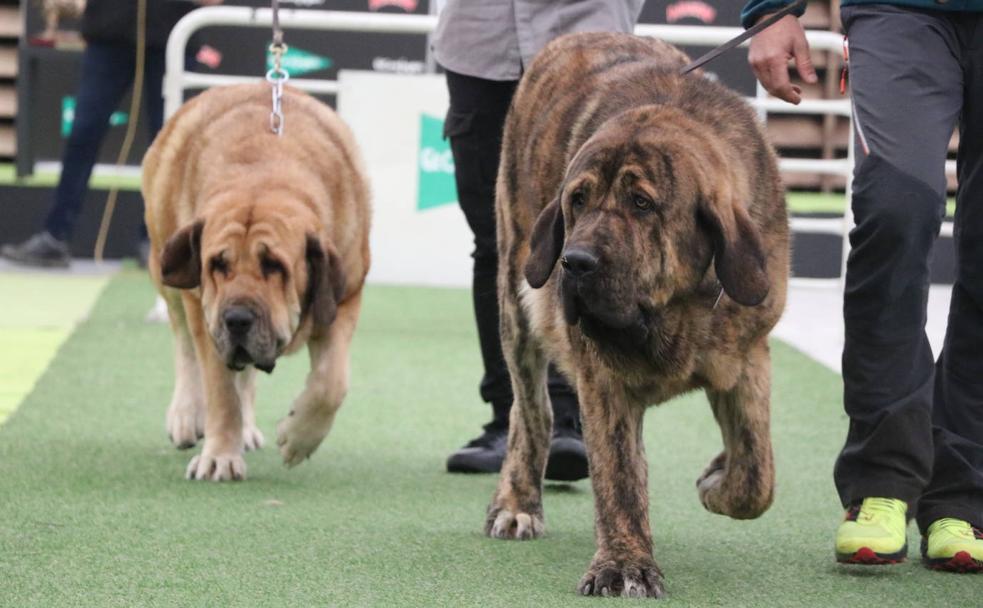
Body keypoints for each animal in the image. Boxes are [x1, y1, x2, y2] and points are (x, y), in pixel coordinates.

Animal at [140, 83, 368, 482]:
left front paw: (298, 437)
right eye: (217, 263)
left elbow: (331, 382)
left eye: (274, 265)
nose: (237, 319)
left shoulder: (344, 296)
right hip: (166, 270)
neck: (264, 170)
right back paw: (186, 415)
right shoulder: (207, 317)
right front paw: (220, 456)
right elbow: (220, 391)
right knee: (185, 345)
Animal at [490, 32, 792, 592]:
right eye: (577, 199)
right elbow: (619, 477)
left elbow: (756, 473)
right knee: (532, 410)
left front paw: (718, 477)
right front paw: (624, 563)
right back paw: (517, 503)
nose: (574, 263)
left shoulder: (747, 356)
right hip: (515, 298)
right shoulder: (601, 379)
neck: (673, 312)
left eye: (642, 204)